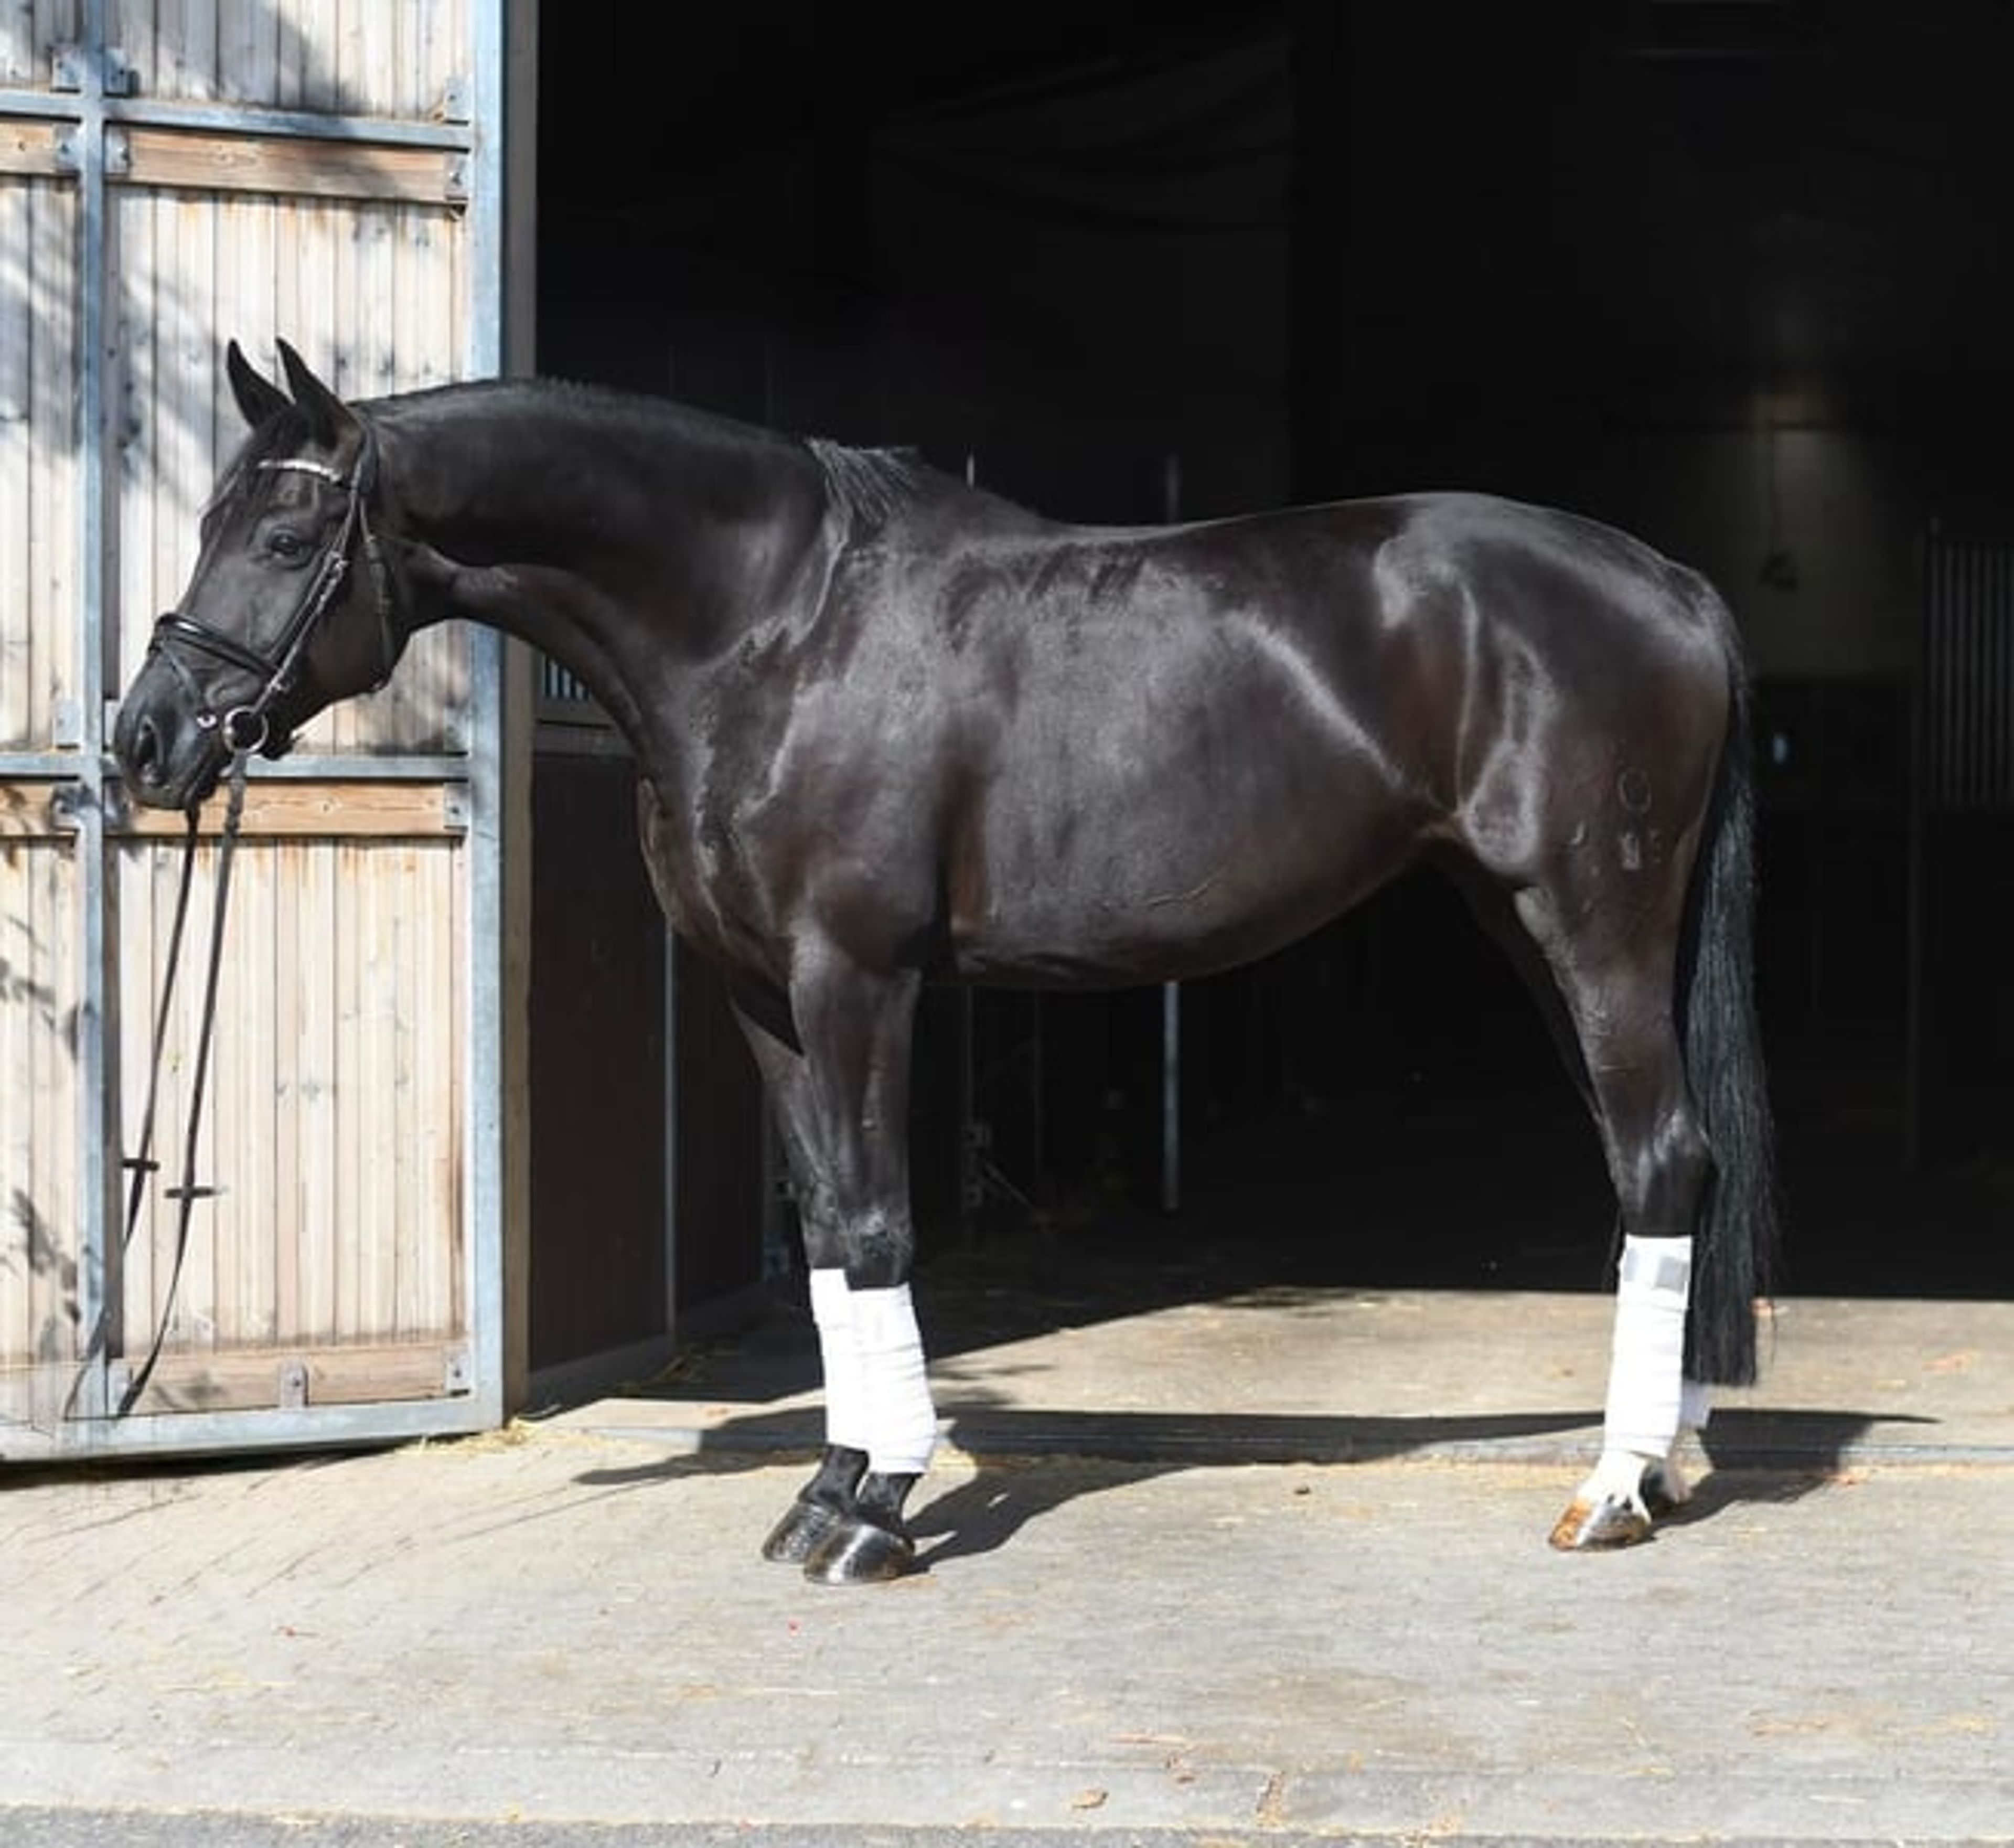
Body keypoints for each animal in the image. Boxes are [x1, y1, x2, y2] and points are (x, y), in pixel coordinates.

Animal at [113, 340, 1778, 1582]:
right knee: (1665, 1164)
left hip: (1590, 926)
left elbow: (876, 1218)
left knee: (1658, 1157)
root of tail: (1678, 587)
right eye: (202, 524)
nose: (147, 741)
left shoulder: (857, 977)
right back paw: (1663, 1464)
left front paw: (877, 1509)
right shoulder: (761, 996)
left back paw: (1613, 1489)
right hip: (1531, 927)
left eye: (283, 537)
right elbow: (827, 1232)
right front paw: (828, 1487)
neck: (771, 626)